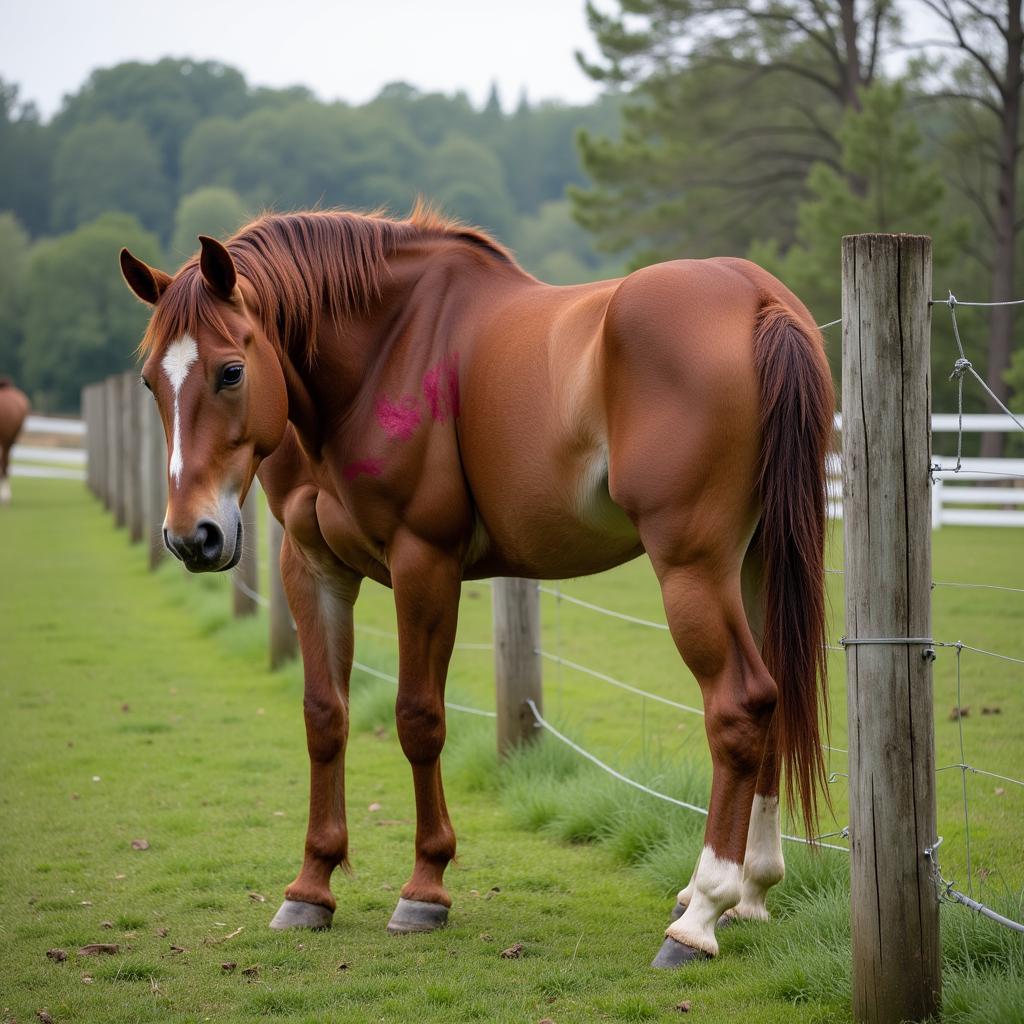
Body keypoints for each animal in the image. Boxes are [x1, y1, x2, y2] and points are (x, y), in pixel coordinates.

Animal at [117, 209, 831, 966]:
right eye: (151, 383)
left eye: (230, 371)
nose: (192, 537)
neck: (383, 351)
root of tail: (758, 299)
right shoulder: (311, 566)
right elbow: (324, 716)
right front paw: (311, 887)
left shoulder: (423, 563)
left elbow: (418, 717)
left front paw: (424, 889)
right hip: (755, 563)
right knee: (776, 697)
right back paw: (750, 892)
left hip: (692, 567)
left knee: (739, 706)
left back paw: (700, 915)